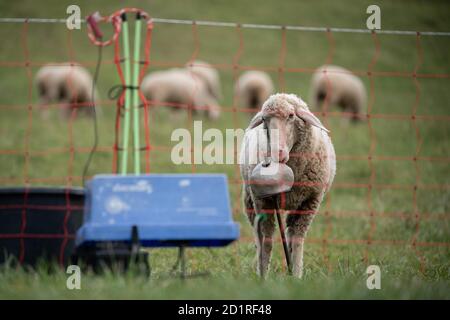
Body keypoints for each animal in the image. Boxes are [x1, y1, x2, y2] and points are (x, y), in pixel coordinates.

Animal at [241, 92, 336, 278]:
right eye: (264, 119)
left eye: (291, 116)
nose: (276, 153)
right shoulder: (264, 202)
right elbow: (267, 241)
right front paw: (263, 277)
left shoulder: (310, 202)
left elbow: (298, 241)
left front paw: (296, 275)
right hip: (250, 200)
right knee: (258, 237)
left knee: (291, 233)